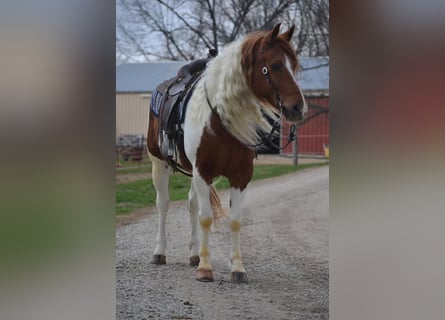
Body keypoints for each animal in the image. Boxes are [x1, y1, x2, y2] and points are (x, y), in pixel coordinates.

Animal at [147, 23, 306, 282]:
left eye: (294, 65)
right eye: (275, 65)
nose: (298, 108)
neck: (220, 119)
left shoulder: (240, 176)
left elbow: (235, 221)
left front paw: (237, 269)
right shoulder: (203, 171)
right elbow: (205, 217)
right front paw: (205, 268)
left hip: (191, 171)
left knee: (191, 204)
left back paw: (193, 255)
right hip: (158, 163)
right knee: (163, 203)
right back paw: (159, 252)